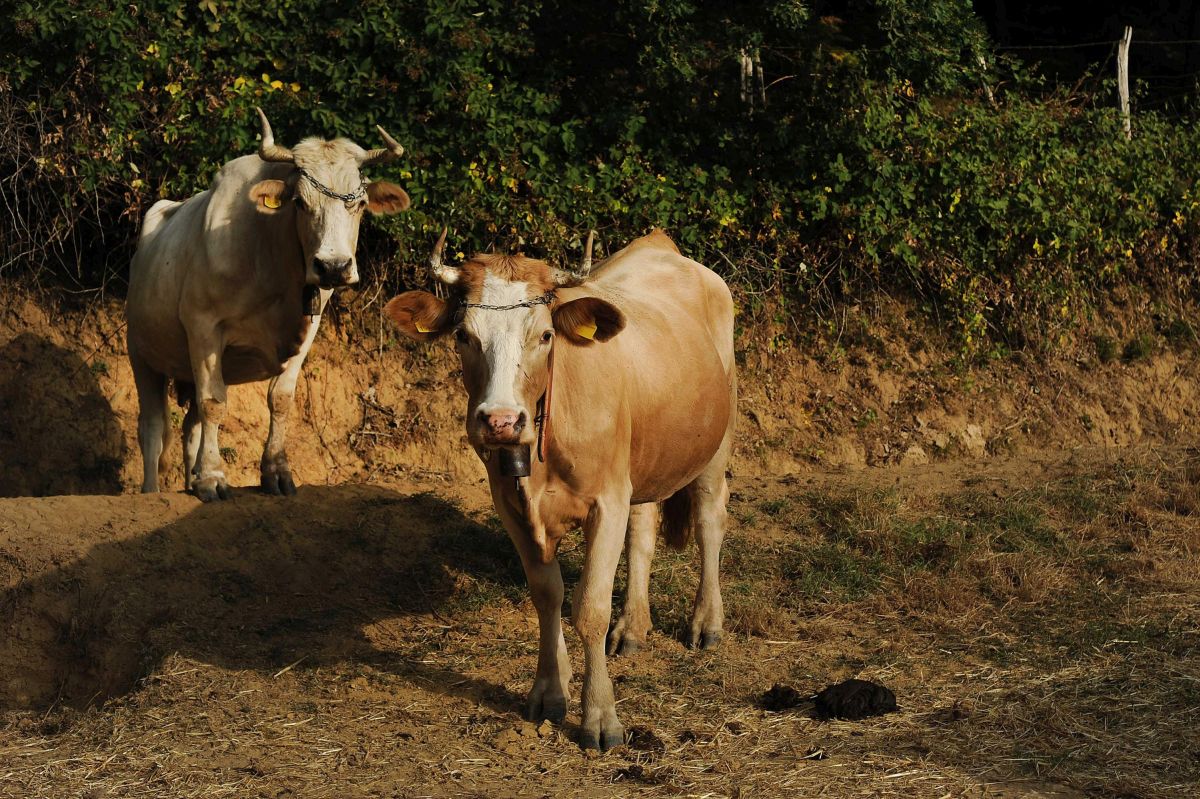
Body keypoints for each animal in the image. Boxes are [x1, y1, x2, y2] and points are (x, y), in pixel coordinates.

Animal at [388, 229, 734, 748]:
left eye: (545, 335)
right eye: (464, 336)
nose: (500, 421)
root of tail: (663, 247)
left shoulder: (605, 501)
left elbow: (588, 606)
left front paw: (600, 717)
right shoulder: (511, 504)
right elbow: (547, 594)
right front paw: (551, 689)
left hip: (716, 441)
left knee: (710, 521)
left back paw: (706, 622)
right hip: (640, 458)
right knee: (642, 532)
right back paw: (633, 627)